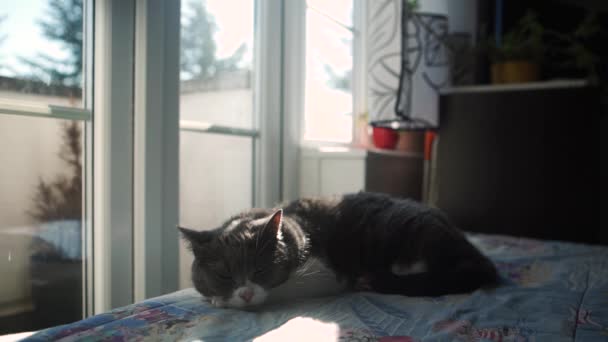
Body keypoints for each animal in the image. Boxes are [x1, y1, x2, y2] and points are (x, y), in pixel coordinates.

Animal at [179, 191, 498, 308]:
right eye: (224, 275)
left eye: (260, 269)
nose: (244, 293)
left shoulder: (324, 275)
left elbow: (282, 290)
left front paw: (221, 302)